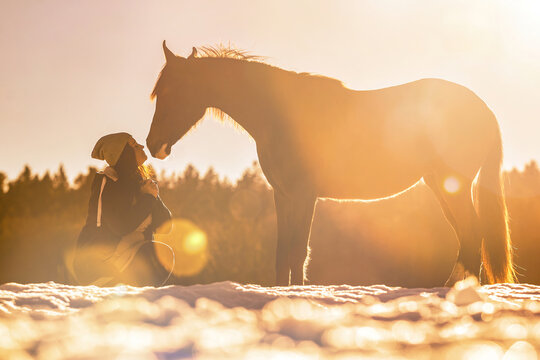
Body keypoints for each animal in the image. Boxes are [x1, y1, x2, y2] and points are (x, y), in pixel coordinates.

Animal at [146, 40, 516, 286]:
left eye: (171, 91)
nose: (153, 145)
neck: (280, 114)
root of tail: (484, 108)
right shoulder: (284, 196)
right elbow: (285, 255)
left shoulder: (303, 195)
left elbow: (297, 253)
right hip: (442, 187)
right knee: (468, 239)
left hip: (453, 187)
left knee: (472, 237)